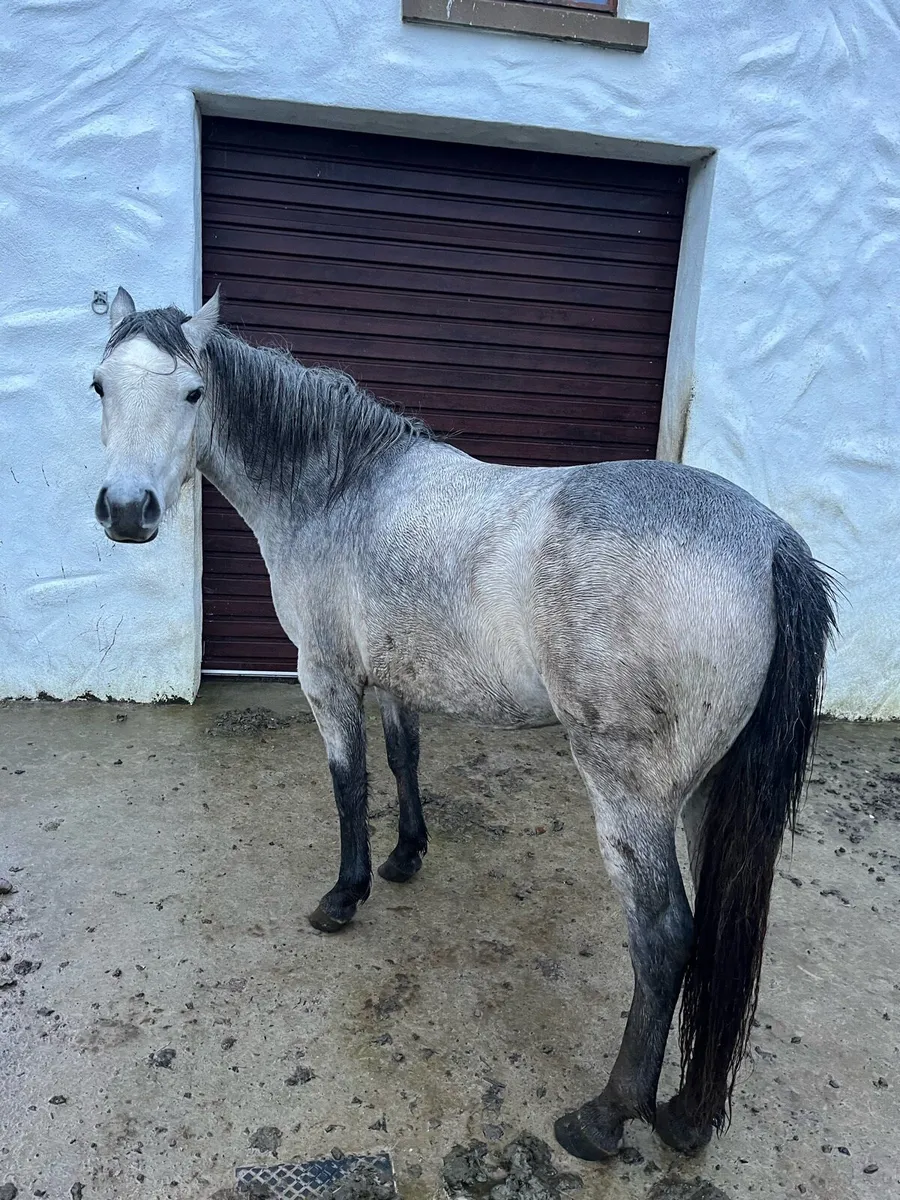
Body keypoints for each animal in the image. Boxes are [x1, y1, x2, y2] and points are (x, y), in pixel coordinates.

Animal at [90, 287, 836, 1162]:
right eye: (101, 385)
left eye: (192, 393)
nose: (127, 512)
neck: (341, 490)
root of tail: (770, 542)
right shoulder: (395, 679)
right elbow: (403, 759)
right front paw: (406, 856)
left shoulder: (327, 678)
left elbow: (349, 784)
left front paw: (345, 895)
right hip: (710, 794)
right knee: (720, 927)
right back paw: (688, 1112)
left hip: (633, 798)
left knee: (664, 937)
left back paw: (604, 1116)